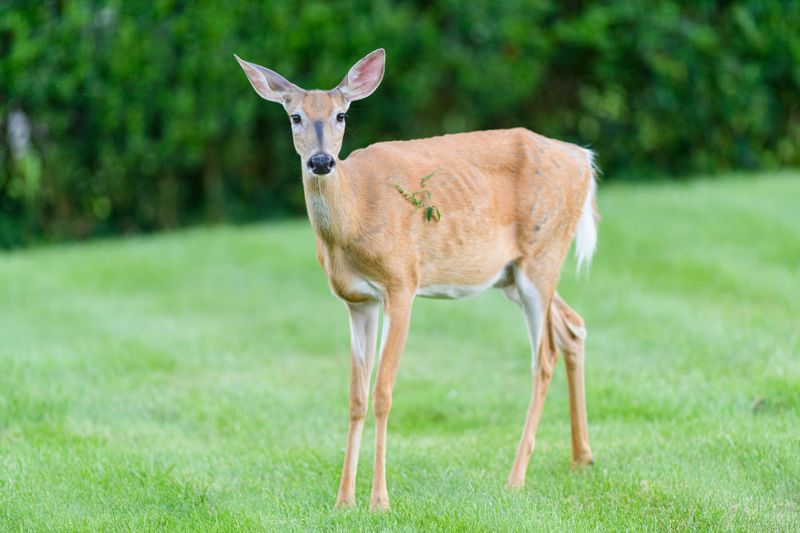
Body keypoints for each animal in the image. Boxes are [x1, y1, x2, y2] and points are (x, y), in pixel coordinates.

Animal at [235, 48, 597, 511]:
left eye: (341, 115)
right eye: (295, 116)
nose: (321, 161)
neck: (353, 220)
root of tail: (583, 158)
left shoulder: (402, 282)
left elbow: (384, 392)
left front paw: (379, 501)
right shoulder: (356, 300)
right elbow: (356, 396)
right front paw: (343, 499)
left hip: (542, 254)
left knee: (544, 355)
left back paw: (516, 478)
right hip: (512, 274)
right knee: (573, 326)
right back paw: (581, 457)